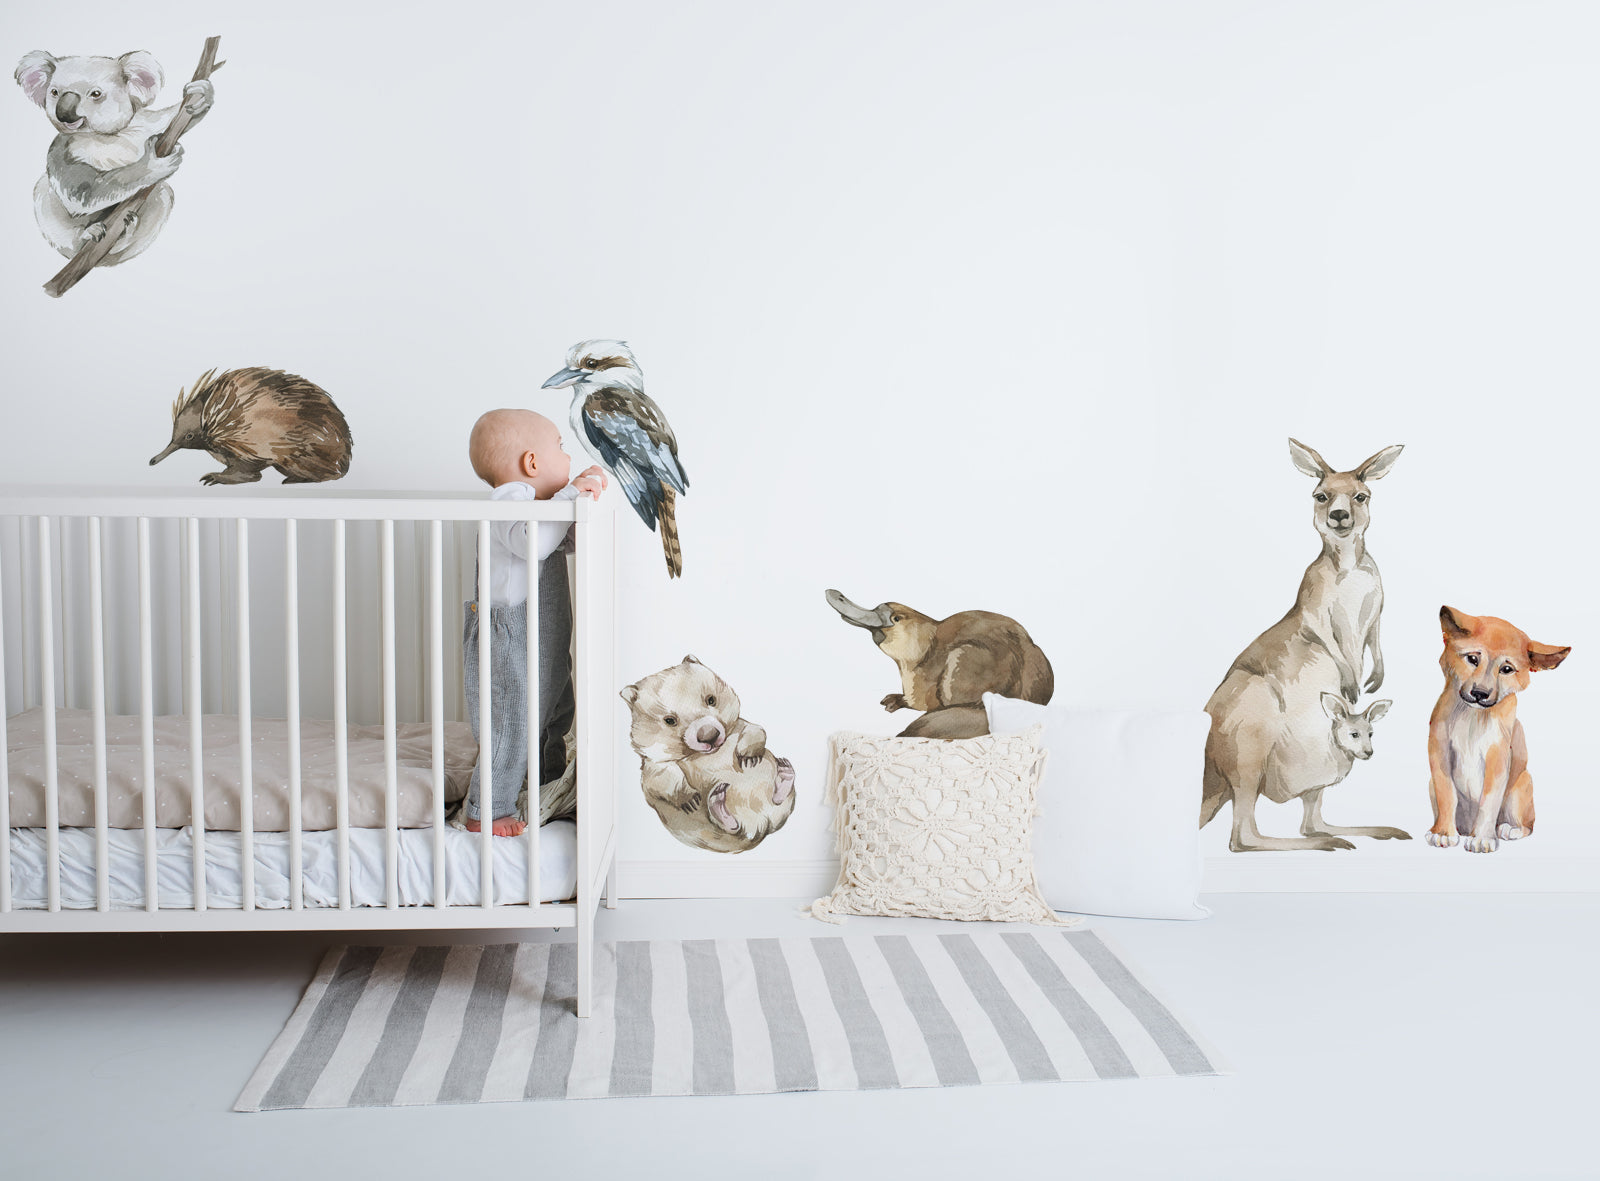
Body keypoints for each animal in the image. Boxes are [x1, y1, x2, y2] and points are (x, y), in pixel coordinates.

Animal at [1200, 439, 1413, 851]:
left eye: (1361, 496)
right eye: (1321, 496)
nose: (1339, 516)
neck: (1347, 566)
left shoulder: (1376, 609)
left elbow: (1375, 639)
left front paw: (1373, 679)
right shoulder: (1314, 609)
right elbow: (1329, 641)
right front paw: (1350, 683)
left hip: (1316, 763)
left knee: (1311, 821)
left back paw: (1373, 832)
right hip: (1250, 730)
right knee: (1243, 836)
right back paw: (1327, 844)